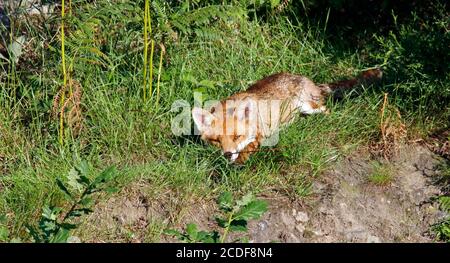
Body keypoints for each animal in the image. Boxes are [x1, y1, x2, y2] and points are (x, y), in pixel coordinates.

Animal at [192, 69, 382, 165]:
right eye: (216, 141)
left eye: (237, 136)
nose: (227, 154)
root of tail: (306, 78)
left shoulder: (261, 134)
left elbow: (248, 148)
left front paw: (240, 161)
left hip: (310, 107)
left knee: (326, 110)